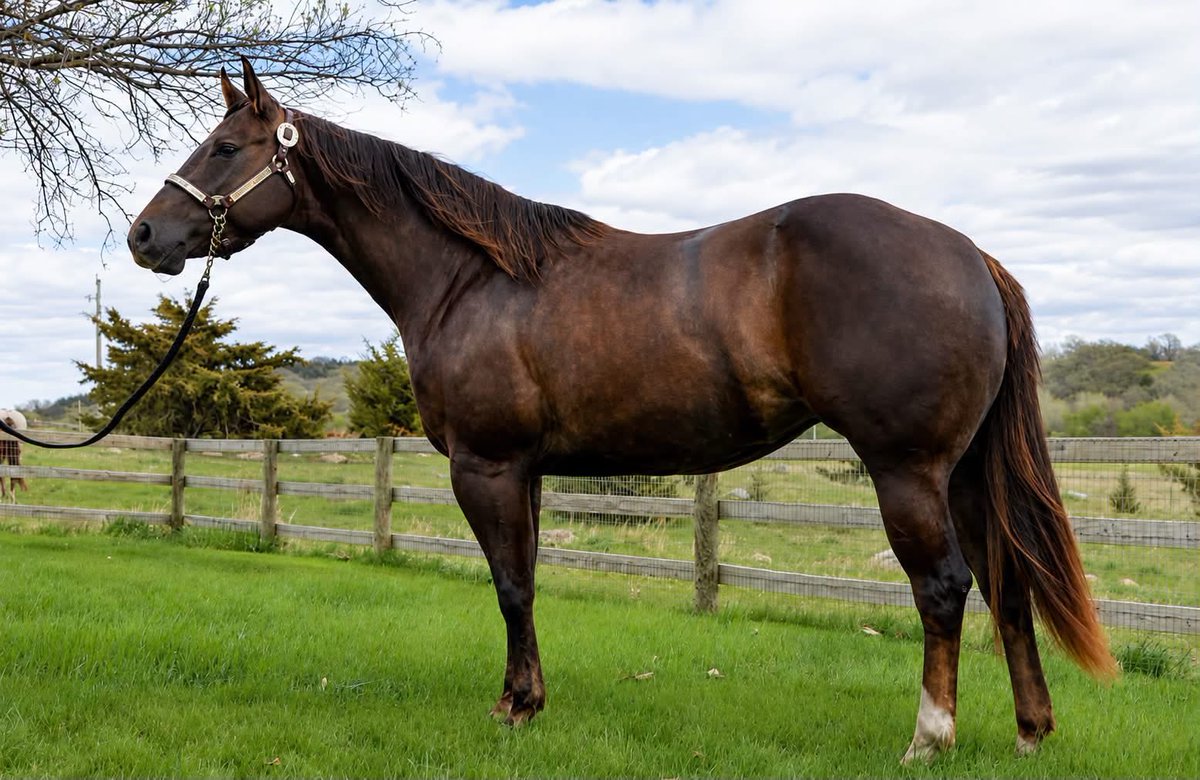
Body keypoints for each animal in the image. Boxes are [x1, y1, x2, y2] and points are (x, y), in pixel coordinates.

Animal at [127, 60, 1115, 761]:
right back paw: (1030, 731)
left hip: (907, 470)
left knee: (944, 588)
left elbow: (509, 584)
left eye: (223, 148)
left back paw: (929, 738)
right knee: (1008, 583)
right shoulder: (524, 470)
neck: (471, 280)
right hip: (964, 473)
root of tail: (970, 254)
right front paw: (524, 699)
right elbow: (524, 584)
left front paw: (514, 711)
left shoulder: (485, 465)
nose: (144, 237)